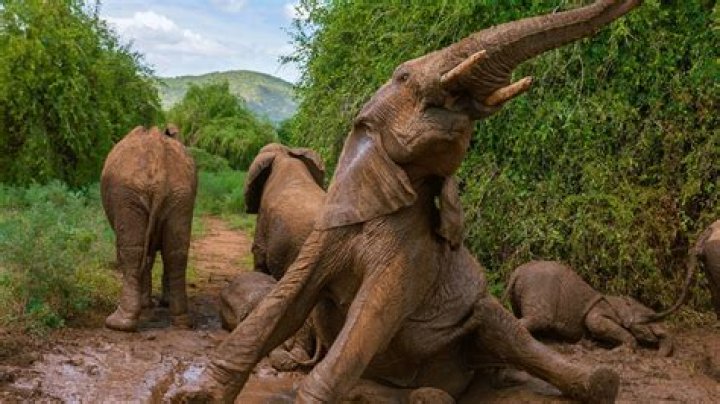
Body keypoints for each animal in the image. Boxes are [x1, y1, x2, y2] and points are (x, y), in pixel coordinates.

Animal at [101, 125, 197, 332]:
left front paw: (147, 306)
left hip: (127, 193)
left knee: (132, 251)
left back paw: (117, 324)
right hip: (181, 194)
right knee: (176, 252)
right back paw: (182, 323)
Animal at [504, 261, 673, 356]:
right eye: (648, 322)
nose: (658, 354)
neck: (624, 306)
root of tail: (517, 273)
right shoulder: (598, 313)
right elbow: (595, 323)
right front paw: (618, 352)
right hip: (540, 284)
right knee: (541, 319)